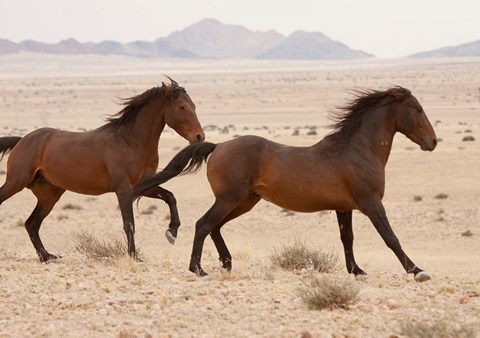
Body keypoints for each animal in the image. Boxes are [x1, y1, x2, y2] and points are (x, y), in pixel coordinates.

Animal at [0, 77, 204, 262]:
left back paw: (47, 256)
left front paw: (172, 232)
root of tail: (22, 140)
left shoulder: (144, 186)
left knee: (32, 224)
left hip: (49, 194)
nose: (199, 136)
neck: (130, 142)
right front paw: (134, 256)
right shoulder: (123, 189)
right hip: (16, 182)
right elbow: (129, 223)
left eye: (194, 106)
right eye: (182, 107)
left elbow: (170, 197)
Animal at [133, 86, 436, 282]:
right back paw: (198, 269)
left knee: (214, 226)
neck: (357, 150)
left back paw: (226, 263)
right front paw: (417, 271)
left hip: (244, 201)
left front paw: (357, 271)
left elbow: (347, 238)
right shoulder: (371, 203)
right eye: (418, 109)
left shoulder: (344, 208)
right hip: (230, 199)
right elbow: (390, 237)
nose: (432, 142)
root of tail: (218, 146)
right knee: (204, 224)